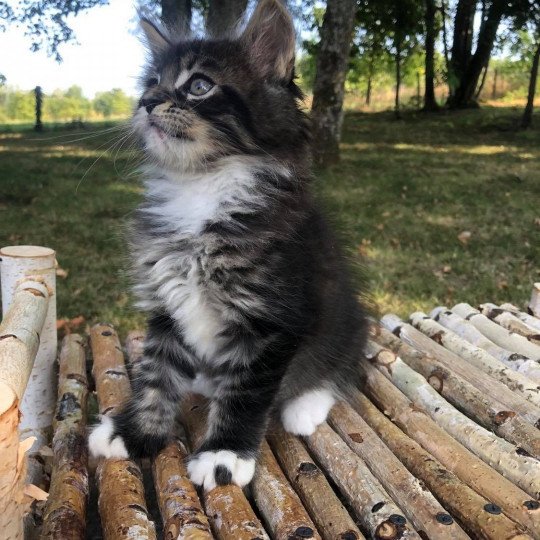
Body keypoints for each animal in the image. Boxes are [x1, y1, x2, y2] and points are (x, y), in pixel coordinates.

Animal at [89, 0, 368, 490]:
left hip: (346, 320)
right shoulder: (167, 305)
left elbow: (245, 393)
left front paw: (224, 454)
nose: (146, 102)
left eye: (199, 86)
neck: (201, 189)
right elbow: (157, 375)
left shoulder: (271, 321)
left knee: (341, 366)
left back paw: (305, 406)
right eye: (151, 83)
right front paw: (136, 432)